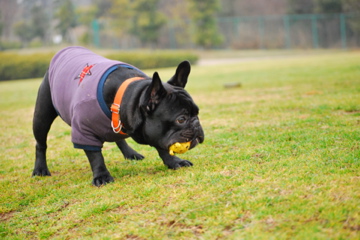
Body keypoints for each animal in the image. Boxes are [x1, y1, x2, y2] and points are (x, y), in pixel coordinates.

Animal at [32, 46, 204, 186]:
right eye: (181, 119)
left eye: (197, 113)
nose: (196, 123)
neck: (128, 97)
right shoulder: (84, 131)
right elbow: (95, 156)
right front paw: (102, 176)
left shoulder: (154, 133)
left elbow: (162, 148)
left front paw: (174, 162)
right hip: (42, 116)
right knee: (41, 144)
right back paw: (40, 169)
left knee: (118, 138)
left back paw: (130, 154)